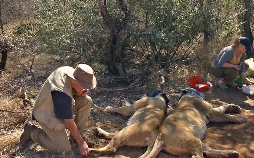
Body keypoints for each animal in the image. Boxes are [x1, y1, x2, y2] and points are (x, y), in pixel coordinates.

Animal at [89, 89, 246, 157]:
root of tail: (159, 137)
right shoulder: (211, 113)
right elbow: (222, 110)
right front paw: (235, 109)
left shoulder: (212, 112)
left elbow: (226, 114)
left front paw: (239, 115)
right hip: (197, 141)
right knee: (207, 152)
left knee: (111, 148)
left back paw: (91, 149)